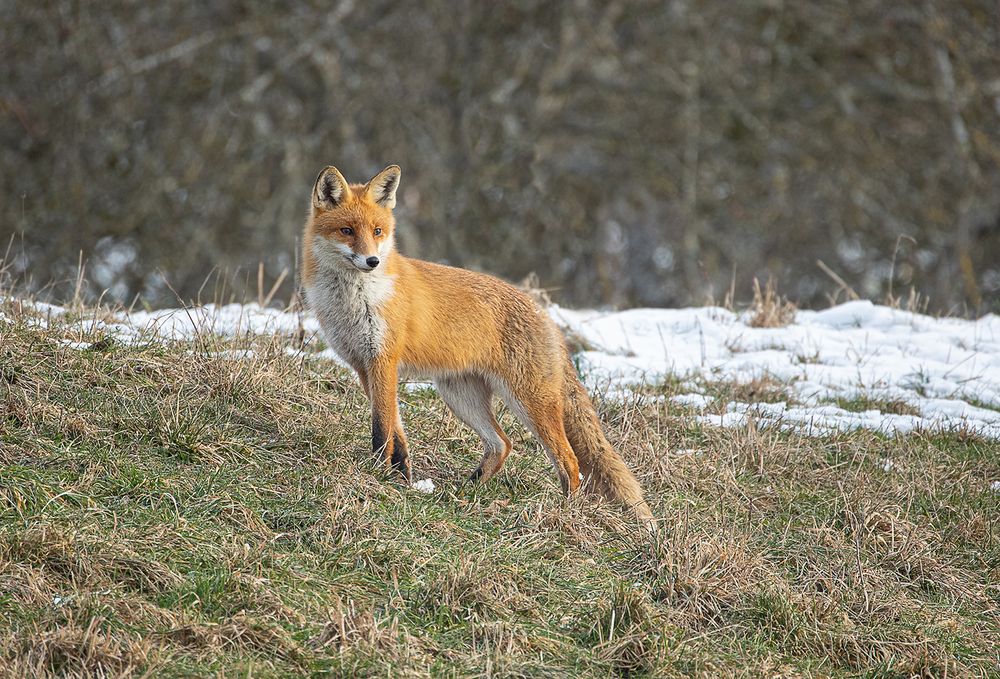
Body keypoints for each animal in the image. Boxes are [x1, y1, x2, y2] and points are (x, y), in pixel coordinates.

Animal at [300, 167, 652, 524]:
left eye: (377, 231)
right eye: (346, 231)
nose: (372, 260)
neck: (354, 300)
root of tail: (546, 317)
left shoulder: (384, 360)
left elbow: (382, 430)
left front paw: (377, 475)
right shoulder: (363, 365)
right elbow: (396, 431)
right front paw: (400, 478)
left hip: (528, 402)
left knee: (569, 460)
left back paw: (564, 513)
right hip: (460, 396)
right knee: (503, 444)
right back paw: (467, 491)